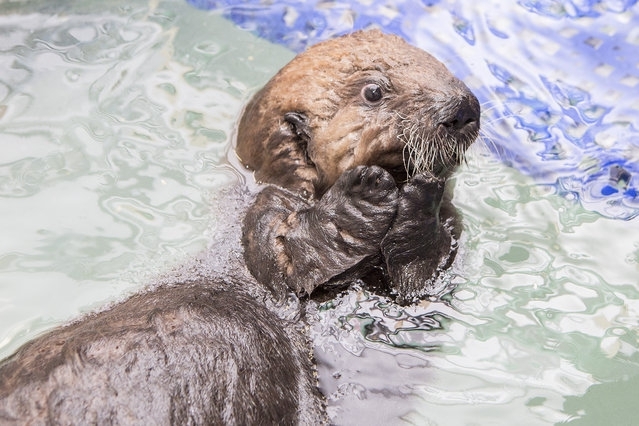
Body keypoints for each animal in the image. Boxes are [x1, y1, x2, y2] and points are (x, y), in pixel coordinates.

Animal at [0, 29, 480, 422]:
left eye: (441, 67)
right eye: (374, 91)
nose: (464, 107)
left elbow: (416, 287)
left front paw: (424, 196)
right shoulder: (261, 211)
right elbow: (282, 256)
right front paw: (365, 194)